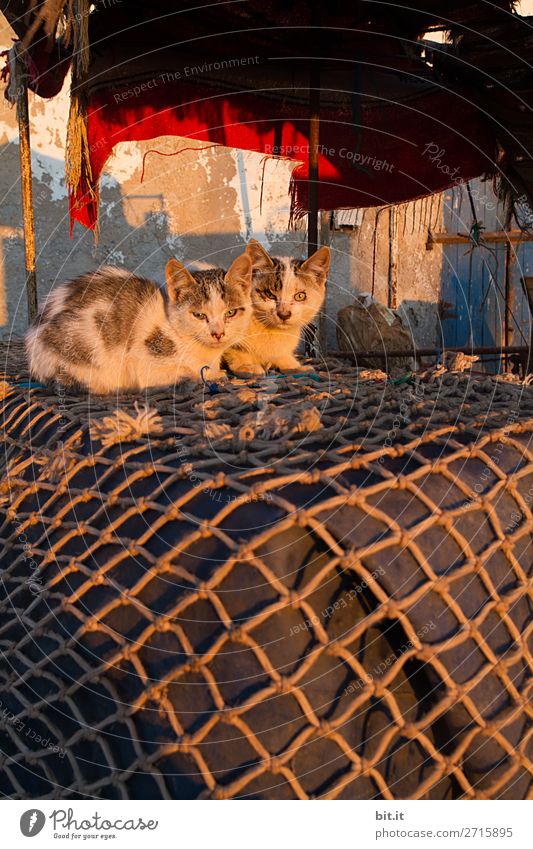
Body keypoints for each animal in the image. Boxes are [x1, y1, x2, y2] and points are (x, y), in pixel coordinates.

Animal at [26, 252, 255, 394]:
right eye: (199, 315)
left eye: (231, 313)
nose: (218, 333)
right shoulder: (143, 363)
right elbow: (184, 373)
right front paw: (204, 376)